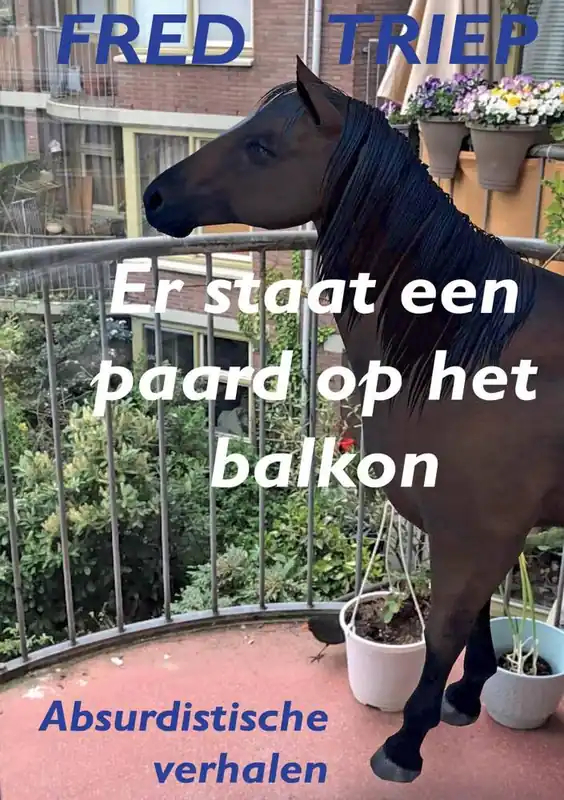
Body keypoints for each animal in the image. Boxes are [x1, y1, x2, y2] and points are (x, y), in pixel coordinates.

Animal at [142, 56, 564, 784]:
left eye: (262, 147)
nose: (154, 197)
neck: (472, 350)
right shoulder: (475, 533)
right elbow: (476, 621)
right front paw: (464, 696)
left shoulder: (477, 533)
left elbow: (446, 630)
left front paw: (407, 743)